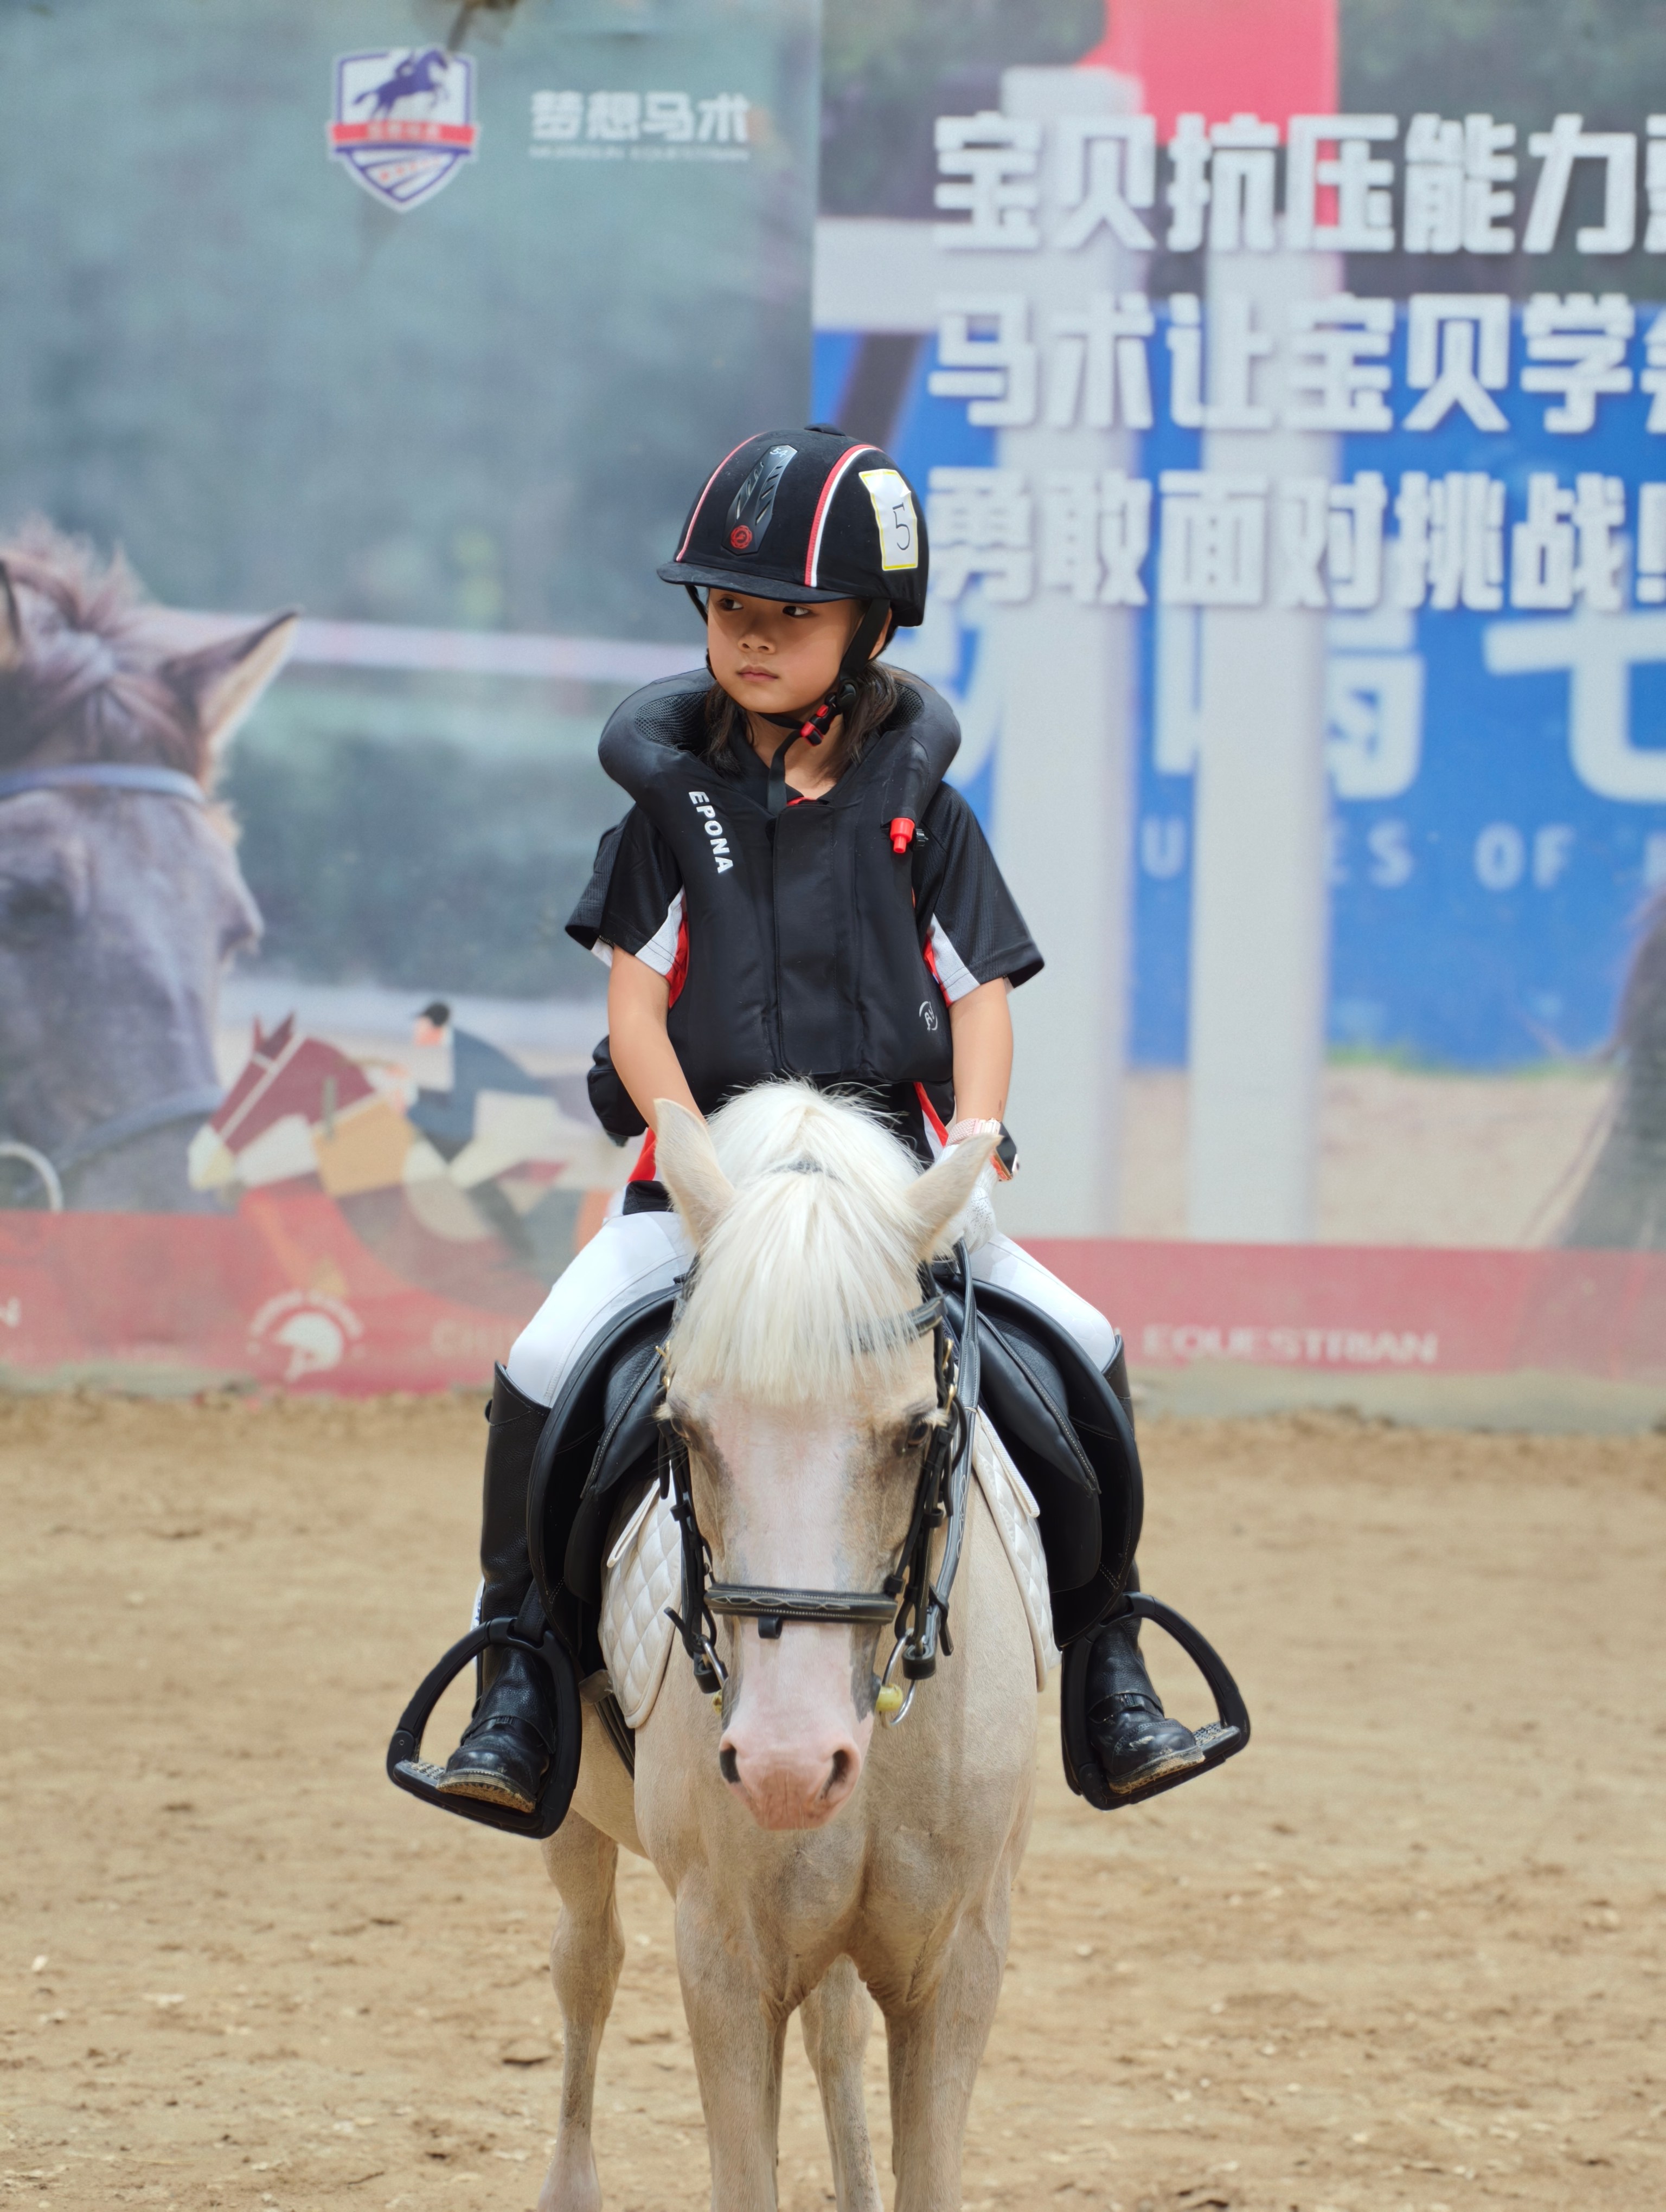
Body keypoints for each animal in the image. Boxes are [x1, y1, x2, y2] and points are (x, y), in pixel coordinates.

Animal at [538, 1085, 1033, 2212]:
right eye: (683, 1429)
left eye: (915, 1432)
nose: (785, 1767)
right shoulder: (721, 1951)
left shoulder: (959, 1955)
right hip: (572, 1821)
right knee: (587, 1966)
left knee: (832, 2029)